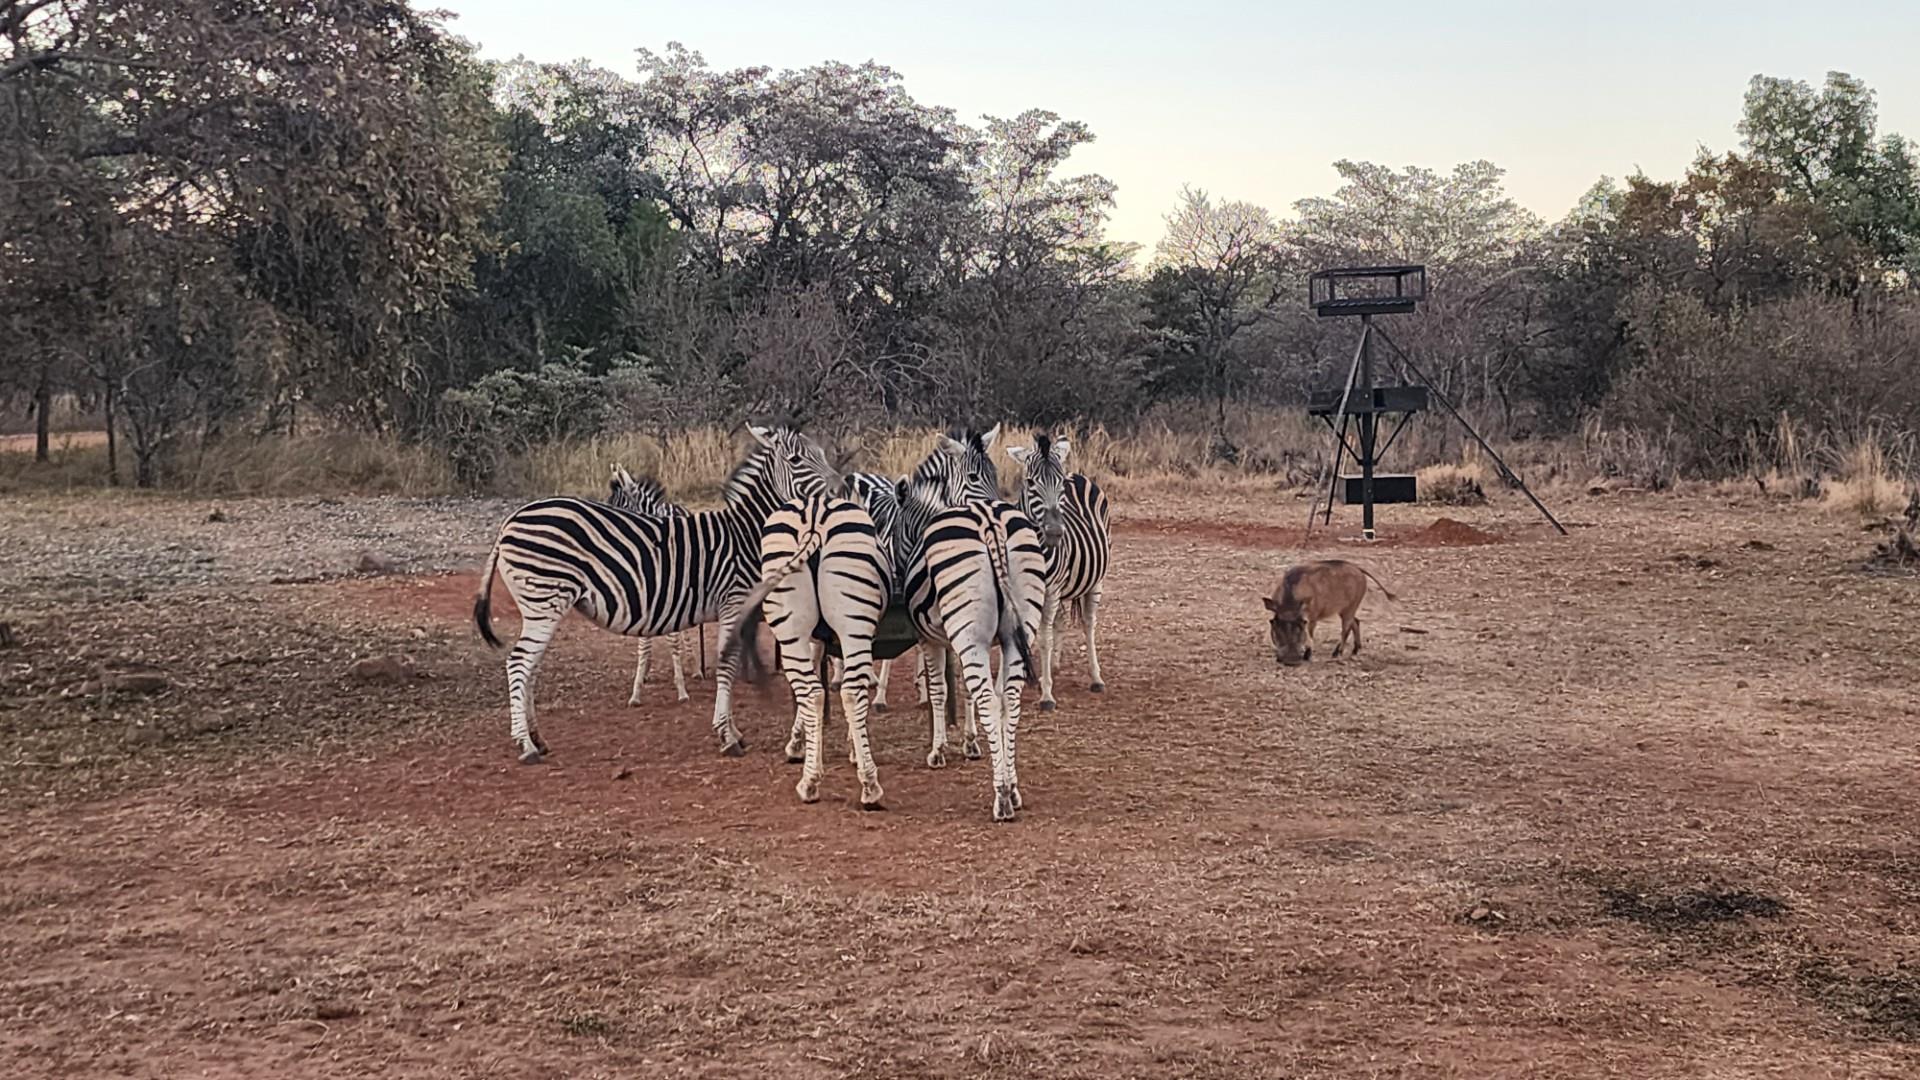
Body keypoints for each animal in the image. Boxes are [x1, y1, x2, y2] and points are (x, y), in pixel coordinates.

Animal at [472, 425, 839, 762]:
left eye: (823, 453)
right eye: (796, 460)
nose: (841, 488)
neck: (745, 532)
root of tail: (510, 520)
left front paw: (733, 730)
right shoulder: (733, 603)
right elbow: (727, 664)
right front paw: (727, 735)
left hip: (541, 605)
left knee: (529, 666)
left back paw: (537, 737)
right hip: (544, 600)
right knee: (519, 663)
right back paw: (526, 745)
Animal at [720, 492, 891, 808]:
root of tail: (813, 518)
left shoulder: (815, 638)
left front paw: (800, 744)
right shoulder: (827, 638)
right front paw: (851, 747)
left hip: (793, 629)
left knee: (812, 691)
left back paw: (810, 783)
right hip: (854, 624)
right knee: (847, 691)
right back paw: (869, 786)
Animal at [1004, 431, 1111, 710]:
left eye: (1059, 483)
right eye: (1030, 482)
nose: (1054, 532)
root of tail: (1077, 475)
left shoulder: (1051, 590)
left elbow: (1043, 638)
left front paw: (1046, 696)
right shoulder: (1021, 590)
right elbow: (1024, 635)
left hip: (1096, 581)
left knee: (1088, 623)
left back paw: (1096, 678)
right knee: (1061, 620)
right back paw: (1053, 666)